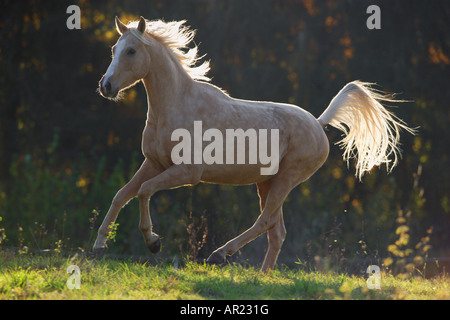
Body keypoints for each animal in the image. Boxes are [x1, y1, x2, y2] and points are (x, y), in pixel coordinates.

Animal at [95, 15, 414, 270]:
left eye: (131, 51)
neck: (175, 105)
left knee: (265, 222)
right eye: (113, 50)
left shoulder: (186, 172)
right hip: (267, 182)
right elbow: (121, 195)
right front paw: (99, 246)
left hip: (287, 179)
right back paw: (262, 276)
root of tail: (318, 122)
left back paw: (219, 255)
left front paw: (153, 242)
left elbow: (144, 191)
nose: (106, 86)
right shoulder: (154, 163)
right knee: (276, 231)